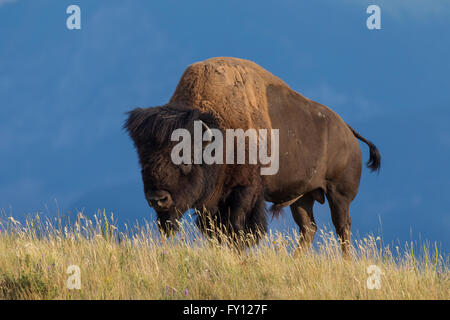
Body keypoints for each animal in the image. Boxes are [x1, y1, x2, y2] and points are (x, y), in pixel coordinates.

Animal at [125, 57, 382, 256]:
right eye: (143, 159)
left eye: (186, 159)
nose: (157, 199)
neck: (220, 132)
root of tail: (348, 131)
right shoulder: (211, 201)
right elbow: (216, 231)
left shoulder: (245, 190)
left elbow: (238, 227)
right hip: (302, 198)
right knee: (308, 228)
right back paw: (294, 260)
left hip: (339, 195)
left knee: (342, 228)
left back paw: (345, 262)